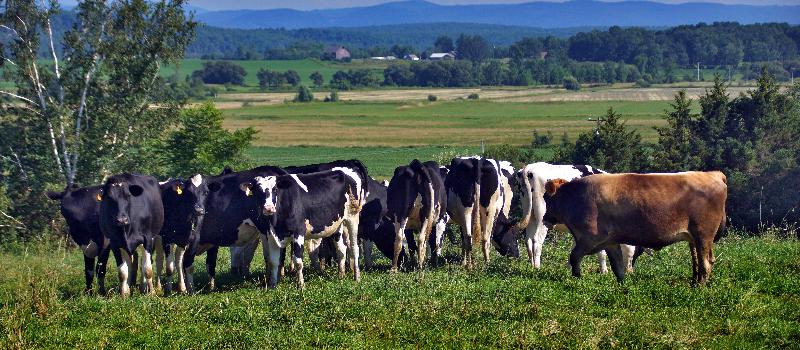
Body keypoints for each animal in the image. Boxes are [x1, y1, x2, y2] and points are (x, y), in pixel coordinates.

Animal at [544, 172, 724, 284]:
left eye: (546, 199)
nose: (545, 218)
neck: (574, 197)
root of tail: (714, 174)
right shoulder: (610, 242)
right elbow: (618, 267)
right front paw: (623, 286)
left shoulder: (588, 239)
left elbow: (574, 257)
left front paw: (577, 278)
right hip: (695, 238)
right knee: (700, 262)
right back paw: (694, 284)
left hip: (703, 236)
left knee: (705, 263)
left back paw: (698, 288)